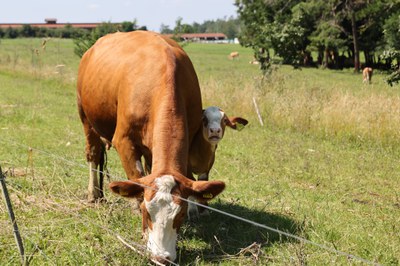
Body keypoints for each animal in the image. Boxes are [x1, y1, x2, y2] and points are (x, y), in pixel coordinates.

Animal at [75, 30, 225, 262]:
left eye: (181, 214)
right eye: (147, 212)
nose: (161, 257)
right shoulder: (124, 141)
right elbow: (136, 180)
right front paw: (145, 234)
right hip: (85, 116)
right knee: (93, 154)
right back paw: (94, 195)